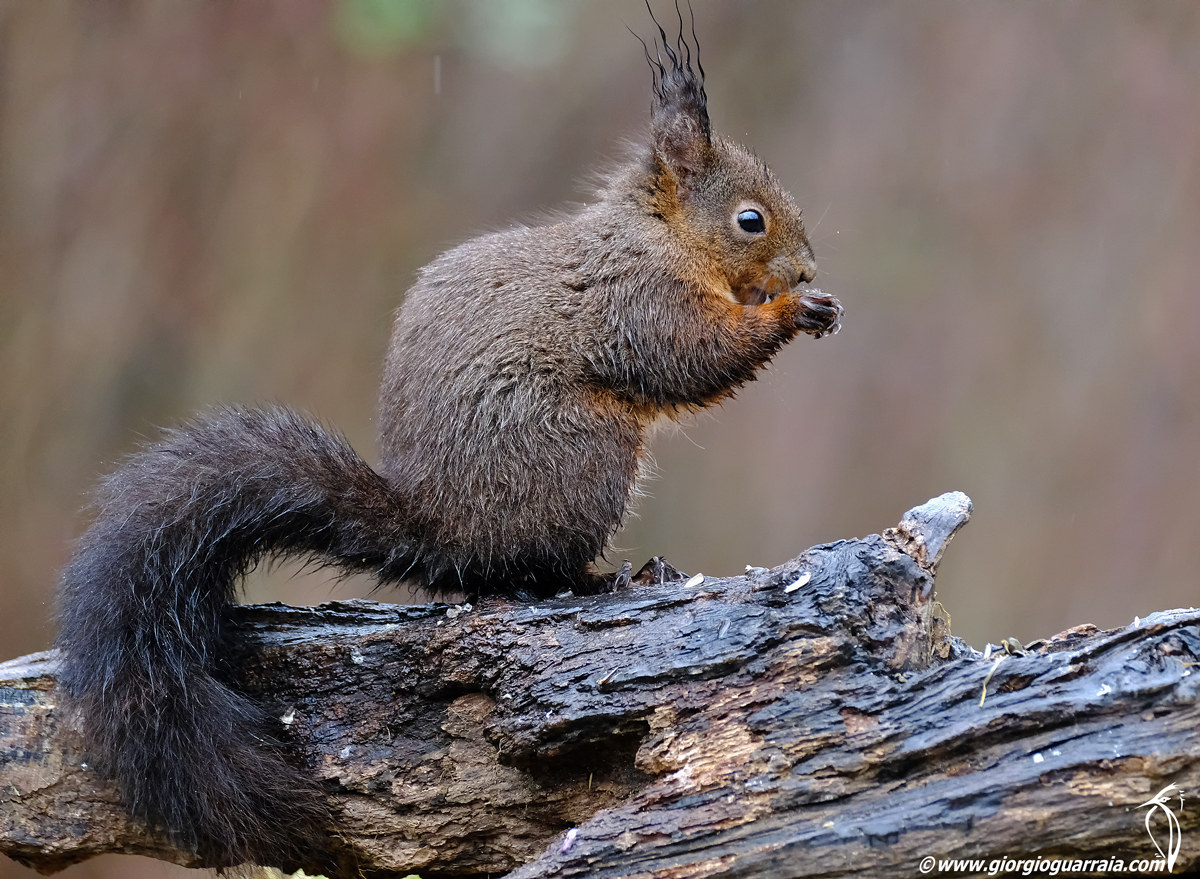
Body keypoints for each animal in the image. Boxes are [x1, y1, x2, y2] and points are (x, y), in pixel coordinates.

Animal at [55, 8, 842, 873]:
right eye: (750, 220)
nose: (807, 270)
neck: (659, 235)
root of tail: (442, 528)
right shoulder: (638, 301)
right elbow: (687, 358)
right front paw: (787, 314)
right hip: (587, 458)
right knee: (530, 572)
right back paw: (608, 578)